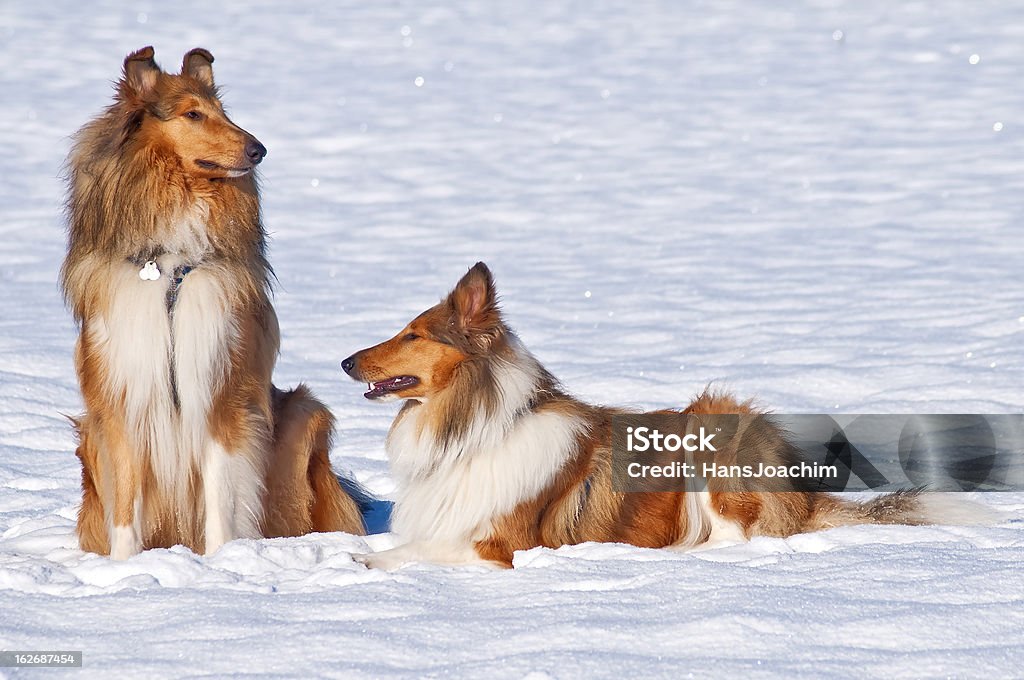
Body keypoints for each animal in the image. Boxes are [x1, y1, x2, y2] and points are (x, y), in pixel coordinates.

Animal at [60, 46, 364, 557]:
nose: (259, 150)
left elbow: (223, 496)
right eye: (193, 114)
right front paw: (122, 567)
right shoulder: (119, 396)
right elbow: (125, 501)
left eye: (224, 112)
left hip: (304, 414)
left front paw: (222, 564)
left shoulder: (222, 392)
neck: (170, 266)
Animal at [346, 262, 983, 569]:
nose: (346, 361)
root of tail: (800, 489)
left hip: (714, 431)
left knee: (734, 539)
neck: (473, 429)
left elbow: (423, 550)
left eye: (413, 334)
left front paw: (367, 561)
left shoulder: (501, 544)